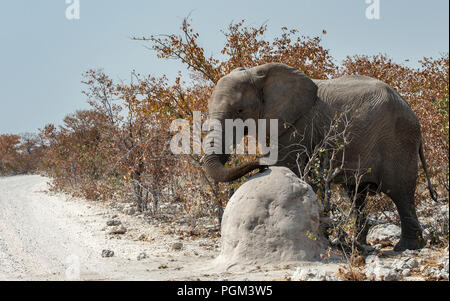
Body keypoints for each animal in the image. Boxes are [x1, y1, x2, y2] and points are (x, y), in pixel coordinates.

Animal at [203, 61, 436, 251]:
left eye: (240, 110)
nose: (259, 164)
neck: (258, 72)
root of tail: (412, 111)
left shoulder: (299, 126)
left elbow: (288, 164)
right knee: (356, 194)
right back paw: (358, 245)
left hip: (400, 140)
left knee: (400, 191)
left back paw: (406, 247)